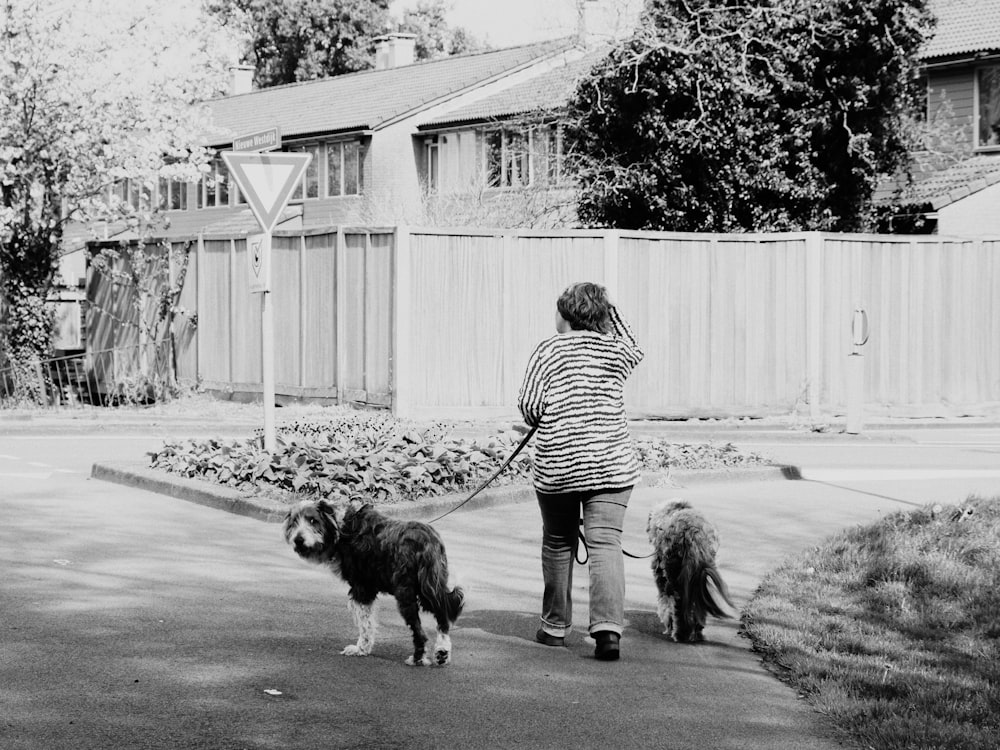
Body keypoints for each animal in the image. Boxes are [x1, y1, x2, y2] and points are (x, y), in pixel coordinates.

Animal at [284, 502, 466, 668]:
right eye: (294, 522)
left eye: (313, 520)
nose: (298, 540)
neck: (342, 529)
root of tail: (427, 539)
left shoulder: (362, 589)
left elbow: (365, 625)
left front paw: (361, 649)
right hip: (430, 588)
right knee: (442, 617)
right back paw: (442, 652)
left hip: (406, 593)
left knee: (419, 632)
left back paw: (417, 659)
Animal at [648, 500, 736, 648]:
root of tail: (693, 532)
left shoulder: (662, 577)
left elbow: (665, 602)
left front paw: (668, 625)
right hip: (699, 577)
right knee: (698, 606)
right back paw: (697, 633)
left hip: (676, 576)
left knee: (679, 607)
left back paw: (680, 635)